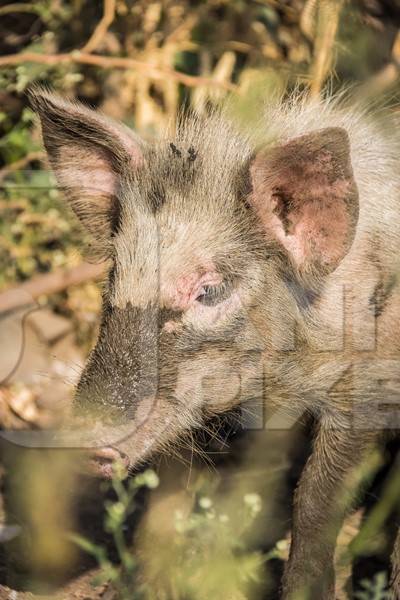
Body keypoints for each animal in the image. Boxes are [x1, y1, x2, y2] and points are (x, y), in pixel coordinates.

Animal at [29, 86, 400, 596]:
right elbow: (169, 503)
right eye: (115, 278)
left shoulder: (362, 391)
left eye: (210, 291)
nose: (84, 439)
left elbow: (315, 502)